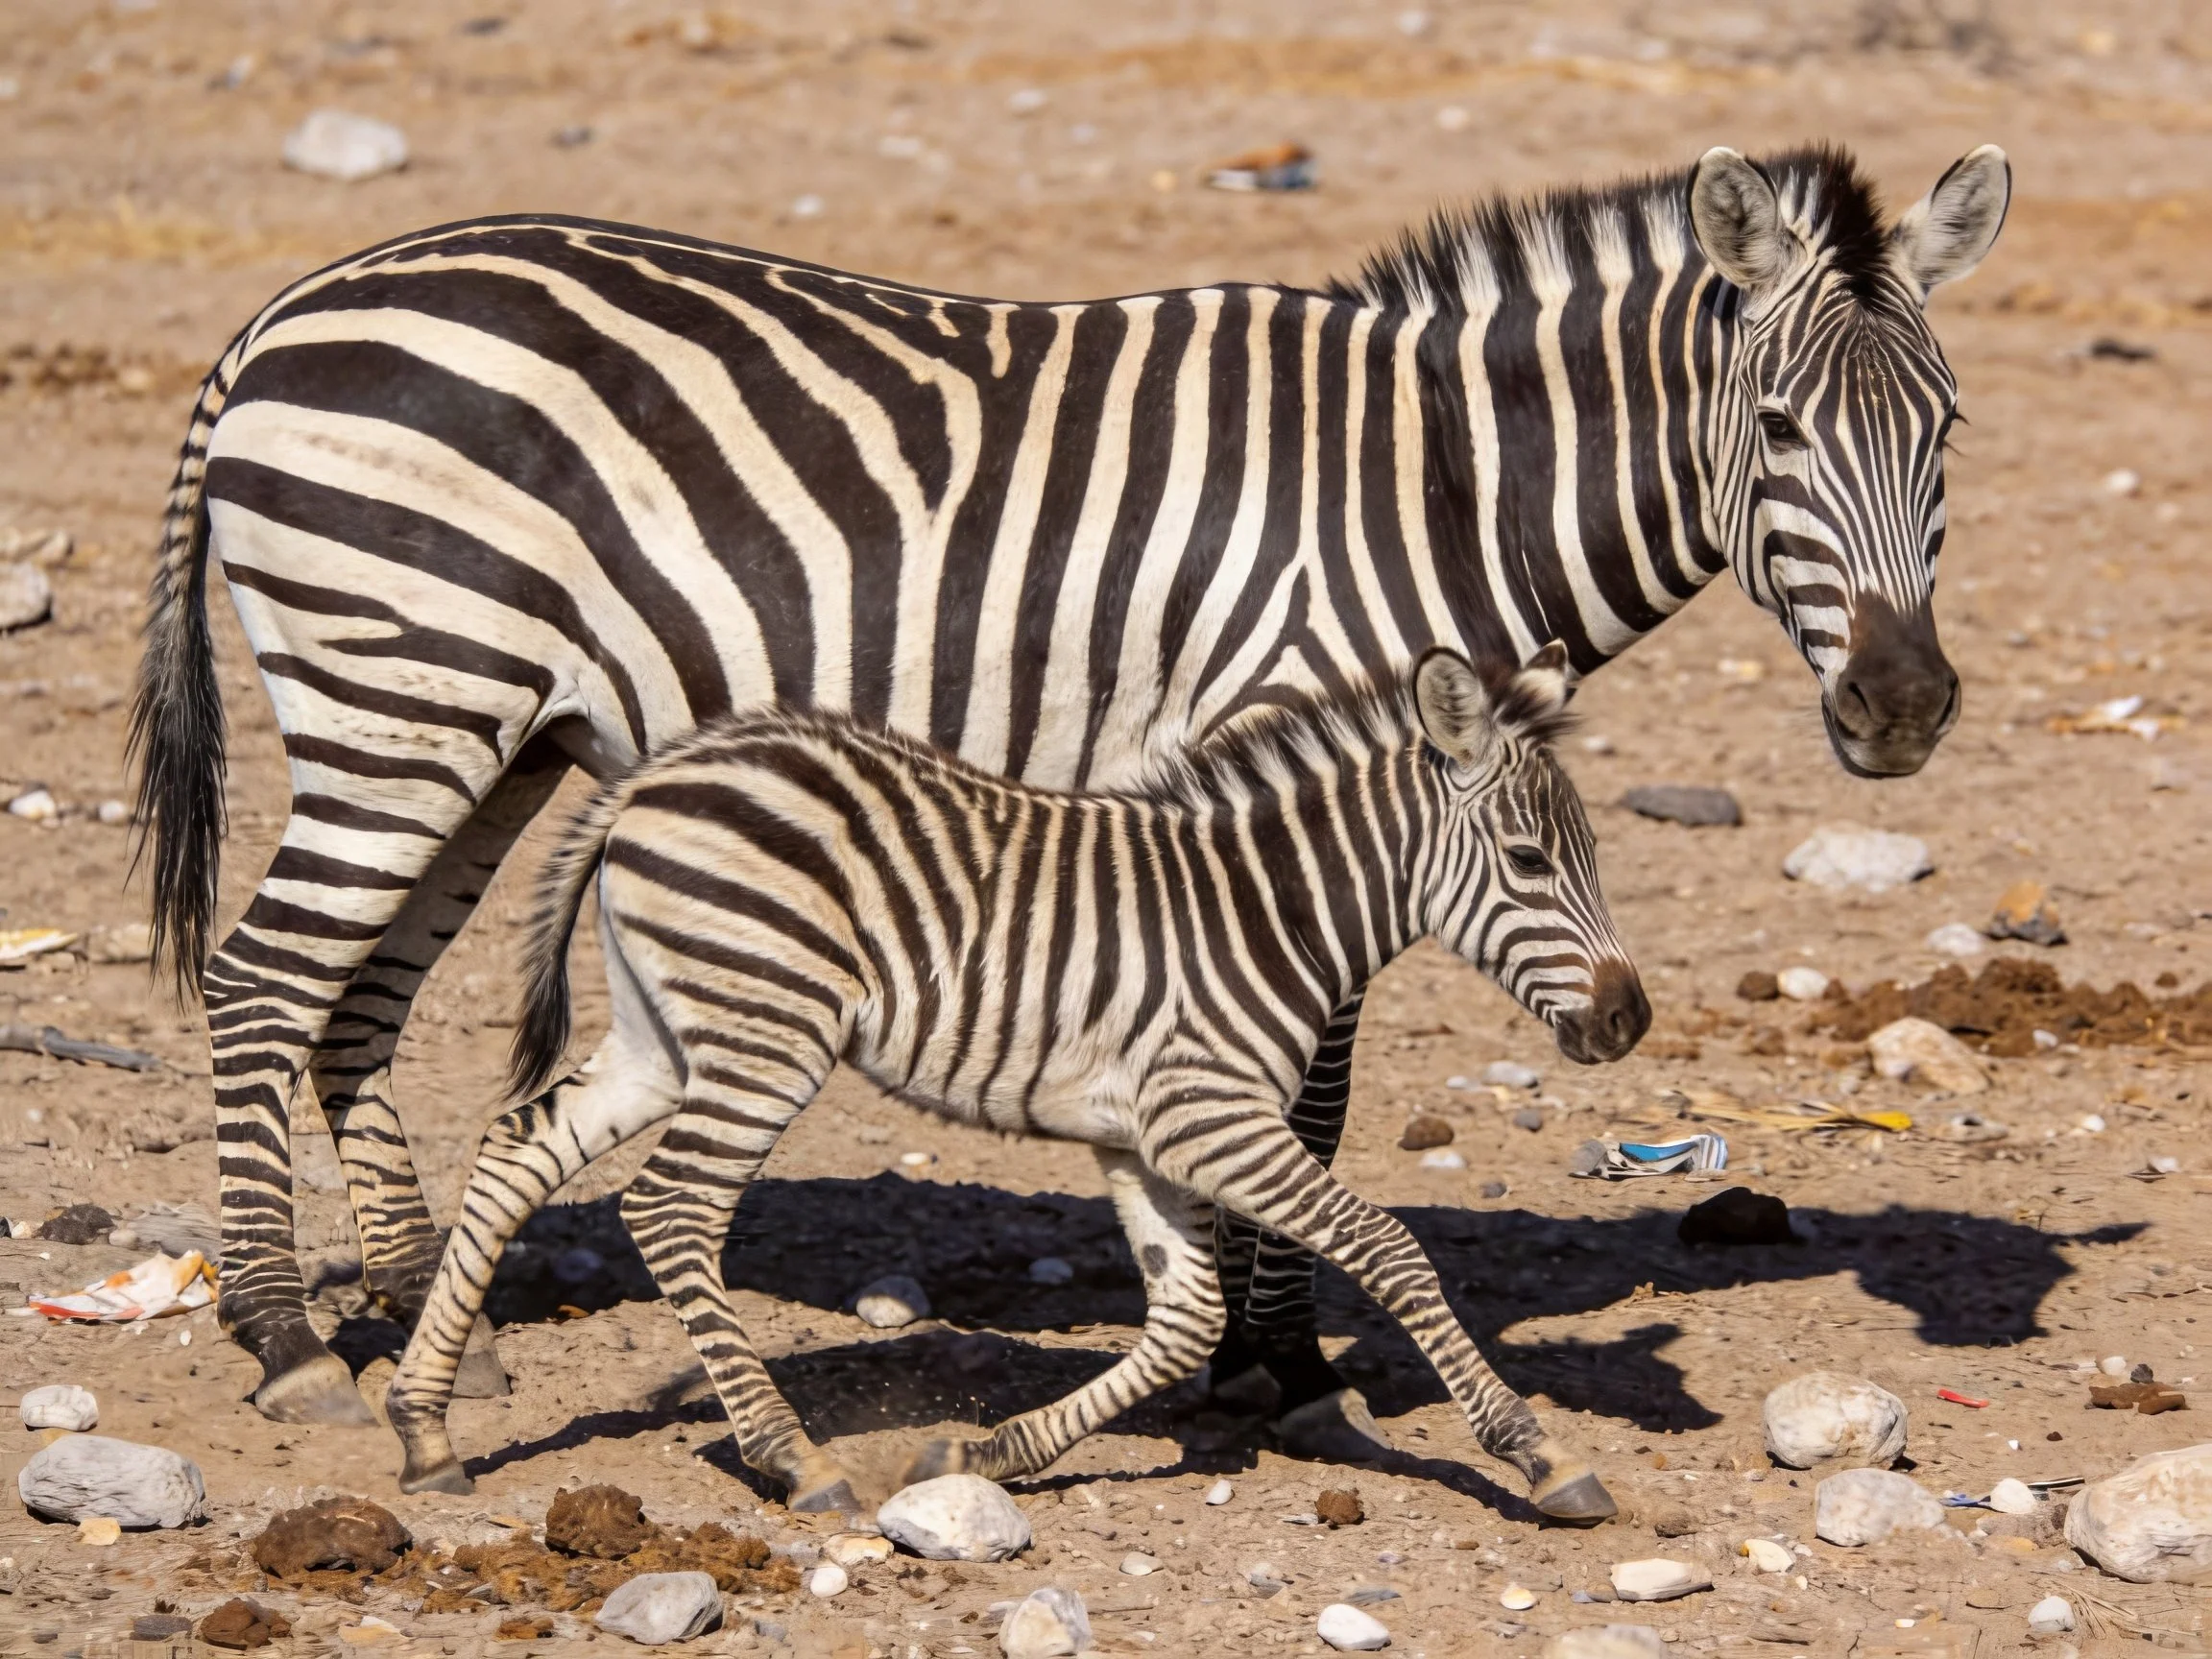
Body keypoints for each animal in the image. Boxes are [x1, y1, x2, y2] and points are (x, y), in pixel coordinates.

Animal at [130, 141, 2010, 1432]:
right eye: (1776, 428)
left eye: (1946, 433)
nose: (1904, 708)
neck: (1439, 485)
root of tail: (286, 309)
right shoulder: (1291, 750)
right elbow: (1313, 1090)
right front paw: (1275, 1359)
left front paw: (1254, 1335)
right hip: (400, 680)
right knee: (265, 979)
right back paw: (286, 1337)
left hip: (489, 726)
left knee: (358, 1000)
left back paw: (413, 1315)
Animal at [384, 645, 1644, 1520]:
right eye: (1529, 862)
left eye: (1588, 856)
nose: (1628, 1019)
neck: (1266, 912)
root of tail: (657, 772)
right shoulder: (1212, 1117)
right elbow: (1390, 1247)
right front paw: (1540, 1455)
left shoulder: (1144, 1137)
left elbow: (1184, 1323)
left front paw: (983, 1452)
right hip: (765, 1031)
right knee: (671, 1208)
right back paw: (797, 1461)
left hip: (669, 1035)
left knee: (517, 1146)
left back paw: (426, 1428)